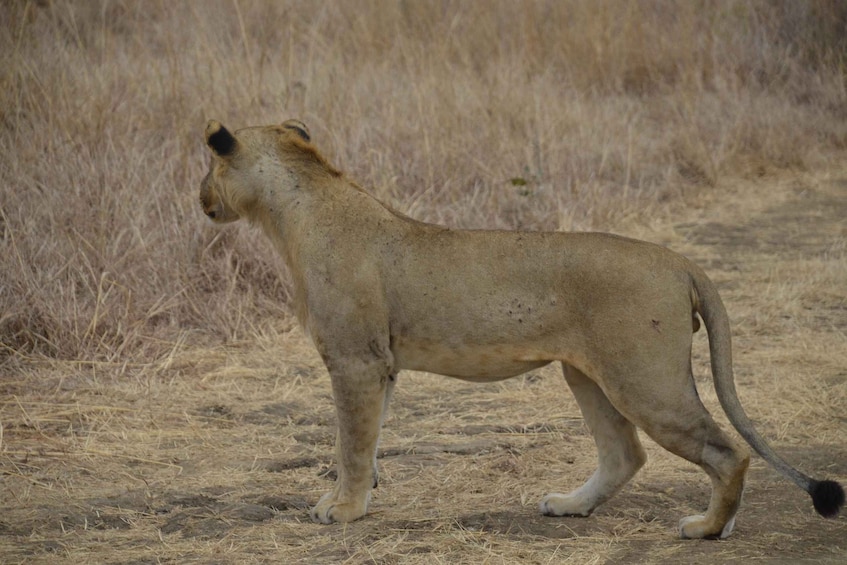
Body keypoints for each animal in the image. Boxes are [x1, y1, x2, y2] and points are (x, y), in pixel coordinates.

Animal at [197, 118, 840, 536]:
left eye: (207, 165)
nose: (200, 196)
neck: (292, 213)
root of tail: (680, 260)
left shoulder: (354, 359)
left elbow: (350, 443)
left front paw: (342, 510)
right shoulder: (381, 367)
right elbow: (369, 440)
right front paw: (357, 497)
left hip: (645, 379)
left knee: (727, 453)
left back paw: (707, 527)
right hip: (588, 375)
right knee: (624, 454)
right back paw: (571, 505)